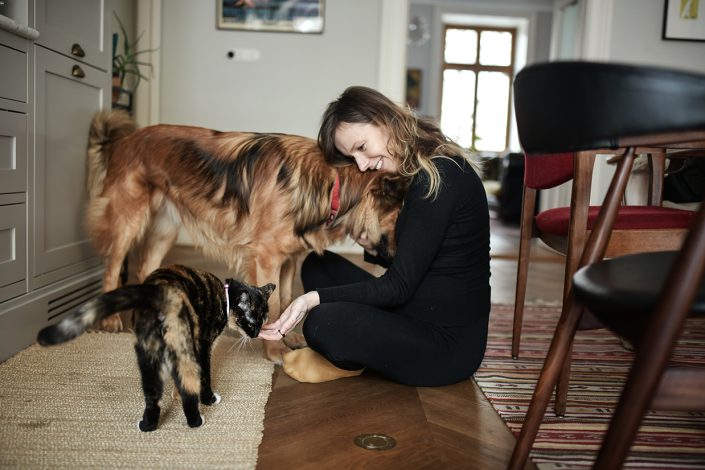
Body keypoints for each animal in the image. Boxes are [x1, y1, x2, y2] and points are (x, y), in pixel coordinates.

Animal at [84, 110, 406, 363]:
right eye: (400, 219)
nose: (394, 262)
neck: (332, 186)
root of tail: (125, 140)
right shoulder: (266, 256)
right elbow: (273, 307)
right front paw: (275, 352)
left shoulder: (289, 259)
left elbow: (287, 299)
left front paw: (289, 336)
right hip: (129, 219)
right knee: (113, 267)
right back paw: (110, 320)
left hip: (166, 228)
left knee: (145, 268)